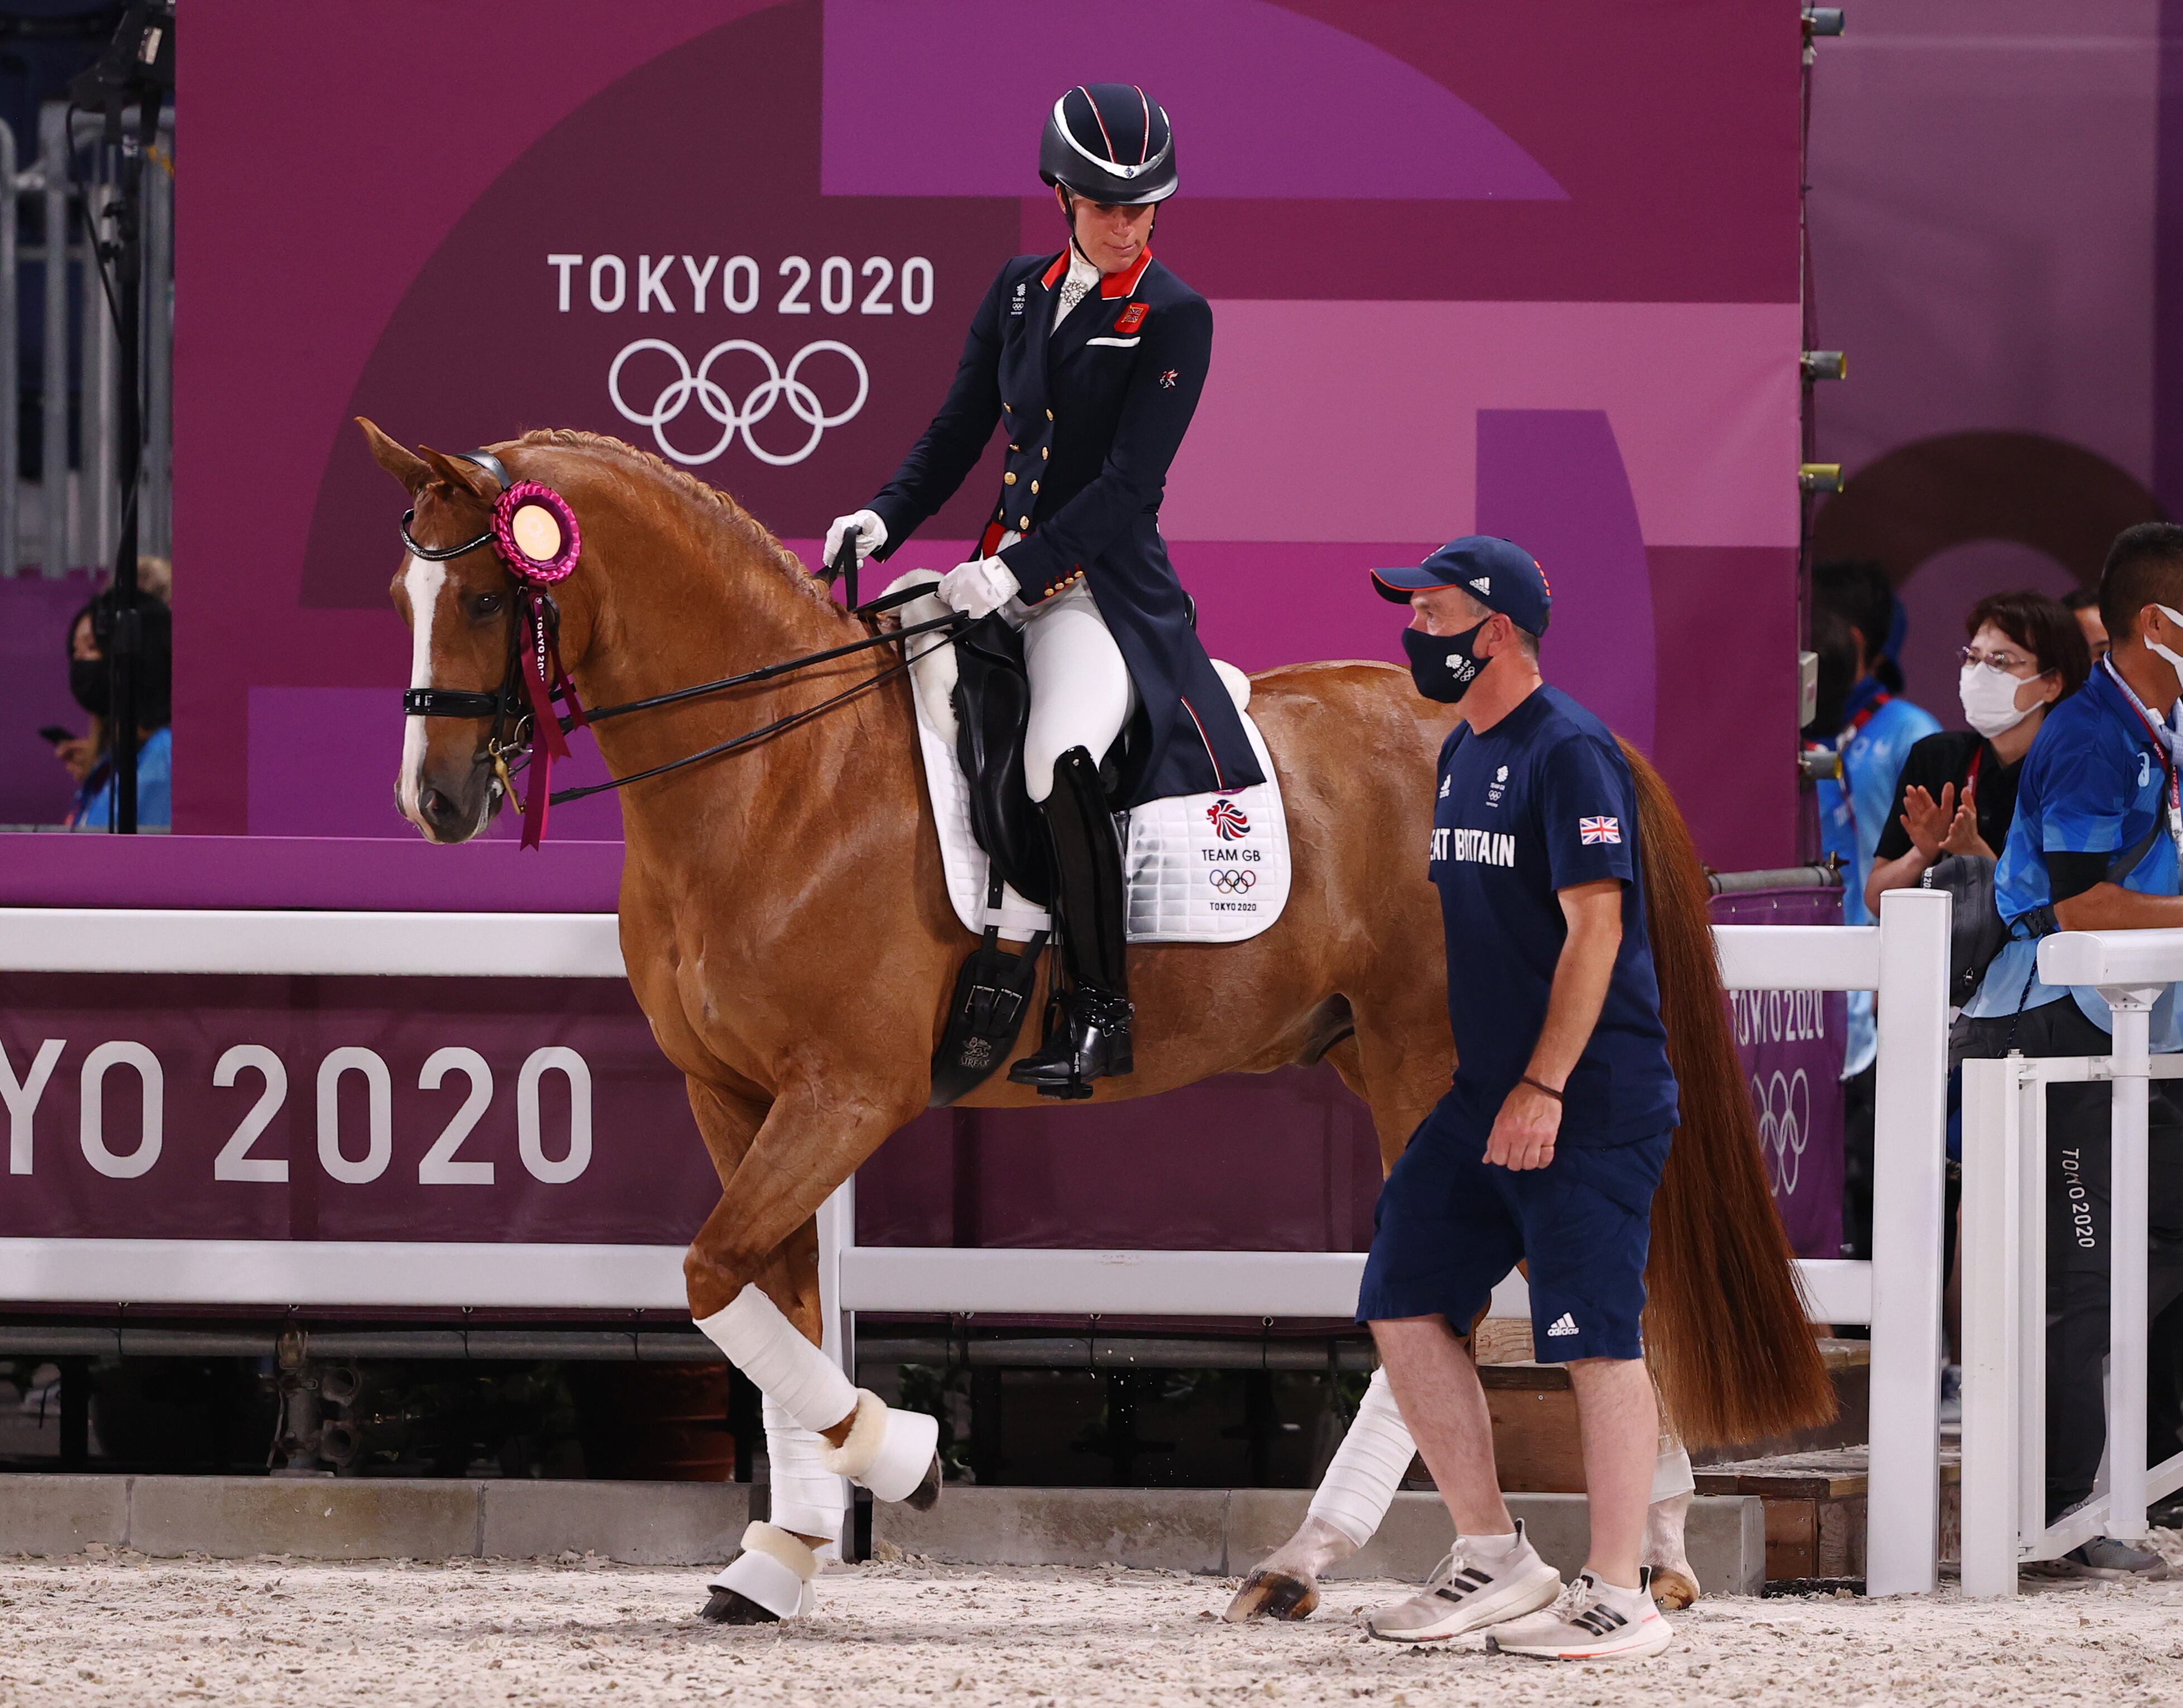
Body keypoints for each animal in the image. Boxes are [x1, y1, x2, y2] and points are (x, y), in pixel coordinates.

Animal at [367, 424, 1834, 1616]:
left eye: (488, 595)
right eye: (403, 595)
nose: (434, 801)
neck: (778, 770)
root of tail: (1540, 723)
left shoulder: (844, 1090)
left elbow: (715, 1277)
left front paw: (903, 1457)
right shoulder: (729, 1093)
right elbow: (762, 1299)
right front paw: (777, 1558)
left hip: (1434, 1059)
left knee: (1473, 1296)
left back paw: (1348, 1558)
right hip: (1381, 1056)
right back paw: (1629, 1542)